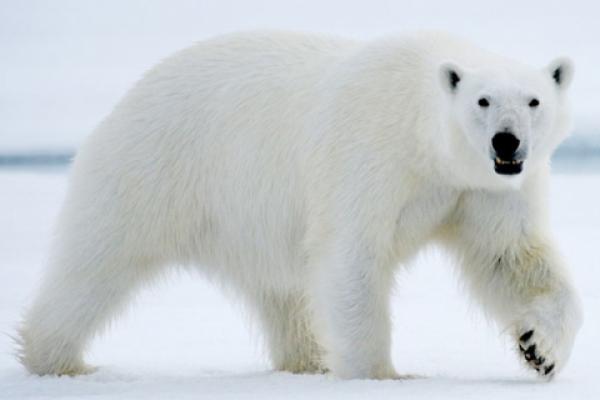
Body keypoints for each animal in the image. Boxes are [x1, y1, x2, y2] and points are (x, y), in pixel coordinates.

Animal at [17, 30, 580, 378]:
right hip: (157, 169)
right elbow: (351, 257)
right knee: (98, 263)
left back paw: (308, 359)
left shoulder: (484, 189)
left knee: (284, 293)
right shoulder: (370, 157)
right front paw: (381, 374)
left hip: (250, 219)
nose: (507, 142)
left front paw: (540, 348)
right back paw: (57, 359)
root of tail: (131, 94)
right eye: (482, 101)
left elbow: (509, 257)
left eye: (533, 100)